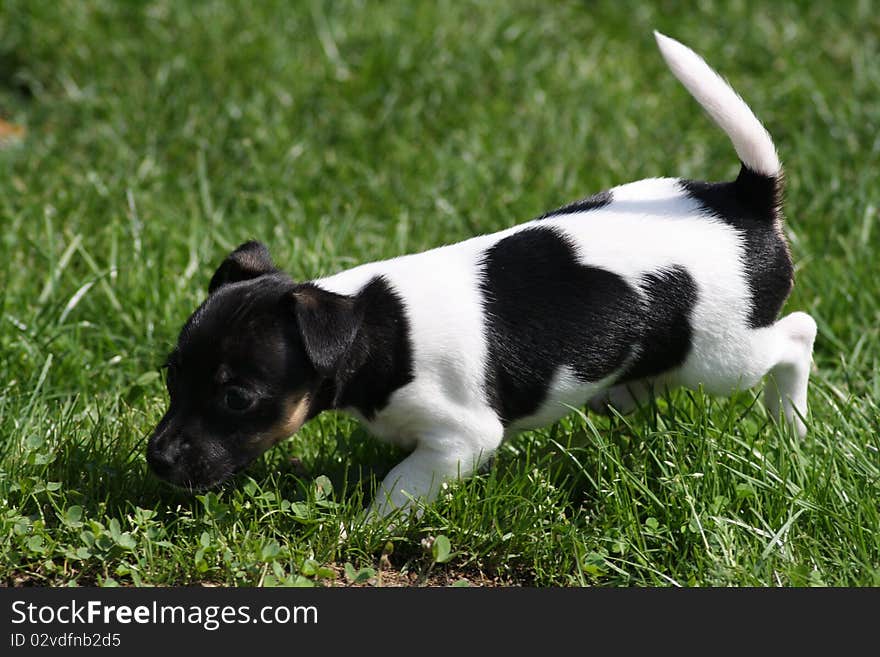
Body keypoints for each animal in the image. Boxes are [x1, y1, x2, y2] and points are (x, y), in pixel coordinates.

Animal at [146, 33, 820, 516]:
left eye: (237, 398)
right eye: (171, 377)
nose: (156, 460)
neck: (377, 328)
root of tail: (743, 200)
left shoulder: (460, 439)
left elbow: (398, 489)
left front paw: (363, 527)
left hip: (721, 357)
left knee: (797, 336)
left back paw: (791, 427)